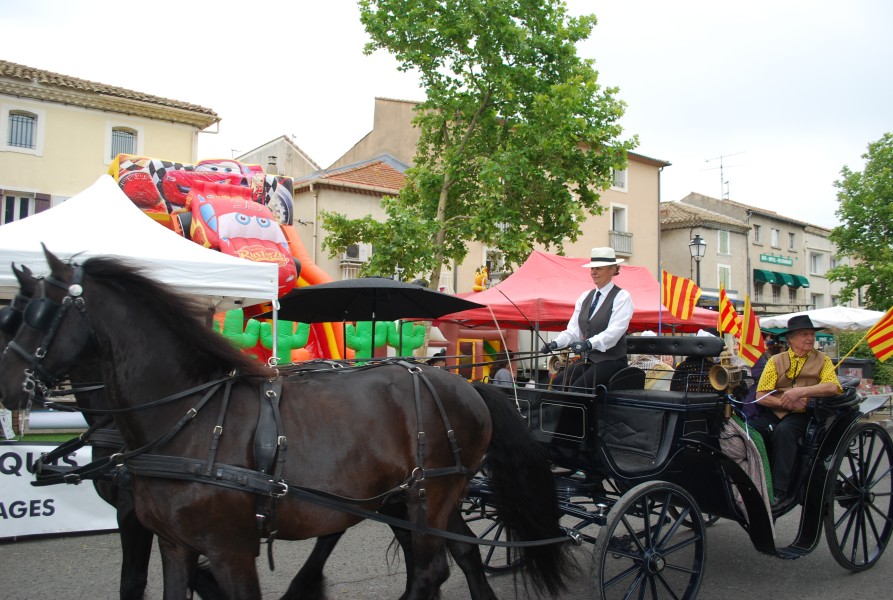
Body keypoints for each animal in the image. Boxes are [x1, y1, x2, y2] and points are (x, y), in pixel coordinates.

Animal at [0, 246, 572, 596]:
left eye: (38, 315)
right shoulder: (173, 544)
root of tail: (467, 384)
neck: (191, 420)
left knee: (431, 567)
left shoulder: (228, 550)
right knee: (457, 557)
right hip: (418, 499)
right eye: (14, 312)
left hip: (427, 496)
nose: (6, 382)